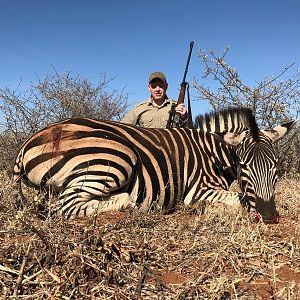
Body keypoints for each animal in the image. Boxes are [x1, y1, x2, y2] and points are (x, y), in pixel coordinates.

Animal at [12, 108, 294, 223]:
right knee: (67, 206)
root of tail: (29, 141)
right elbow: (239, 199)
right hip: (116, 159)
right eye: (244, 166)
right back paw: (128, 204)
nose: (270, 216)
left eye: (276, 168)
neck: (212, 152)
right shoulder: (198, 190)